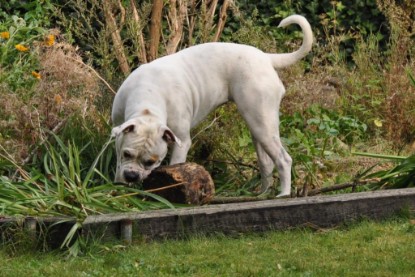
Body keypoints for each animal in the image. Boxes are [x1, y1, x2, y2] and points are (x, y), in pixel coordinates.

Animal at [110, 14, 312, 196]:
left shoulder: (181, 142)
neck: (148, 98)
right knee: (266, 163)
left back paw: (283, 194)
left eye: (151, 162)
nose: (131, 176)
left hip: (263, 125)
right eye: (126, 154)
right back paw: (260, 195)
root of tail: (266, 58)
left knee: (283, 160)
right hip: (257, 127)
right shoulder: (119, 136)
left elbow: (175, 164)